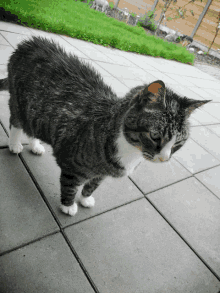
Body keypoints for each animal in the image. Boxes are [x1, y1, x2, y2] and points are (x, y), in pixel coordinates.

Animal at [0, 36, 211, 214]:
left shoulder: (102, 173)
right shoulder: (71, 163)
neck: (129, 151)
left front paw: (85, 199)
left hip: (38, 113)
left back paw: (35, 145)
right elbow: (70, 184)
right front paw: (68, 205)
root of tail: (28, 43)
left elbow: (92, 185)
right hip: (19, 102)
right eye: (155, 136)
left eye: (178, 143)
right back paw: (14, 144)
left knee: (33, 127)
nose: (164, 159)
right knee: (16, 122)